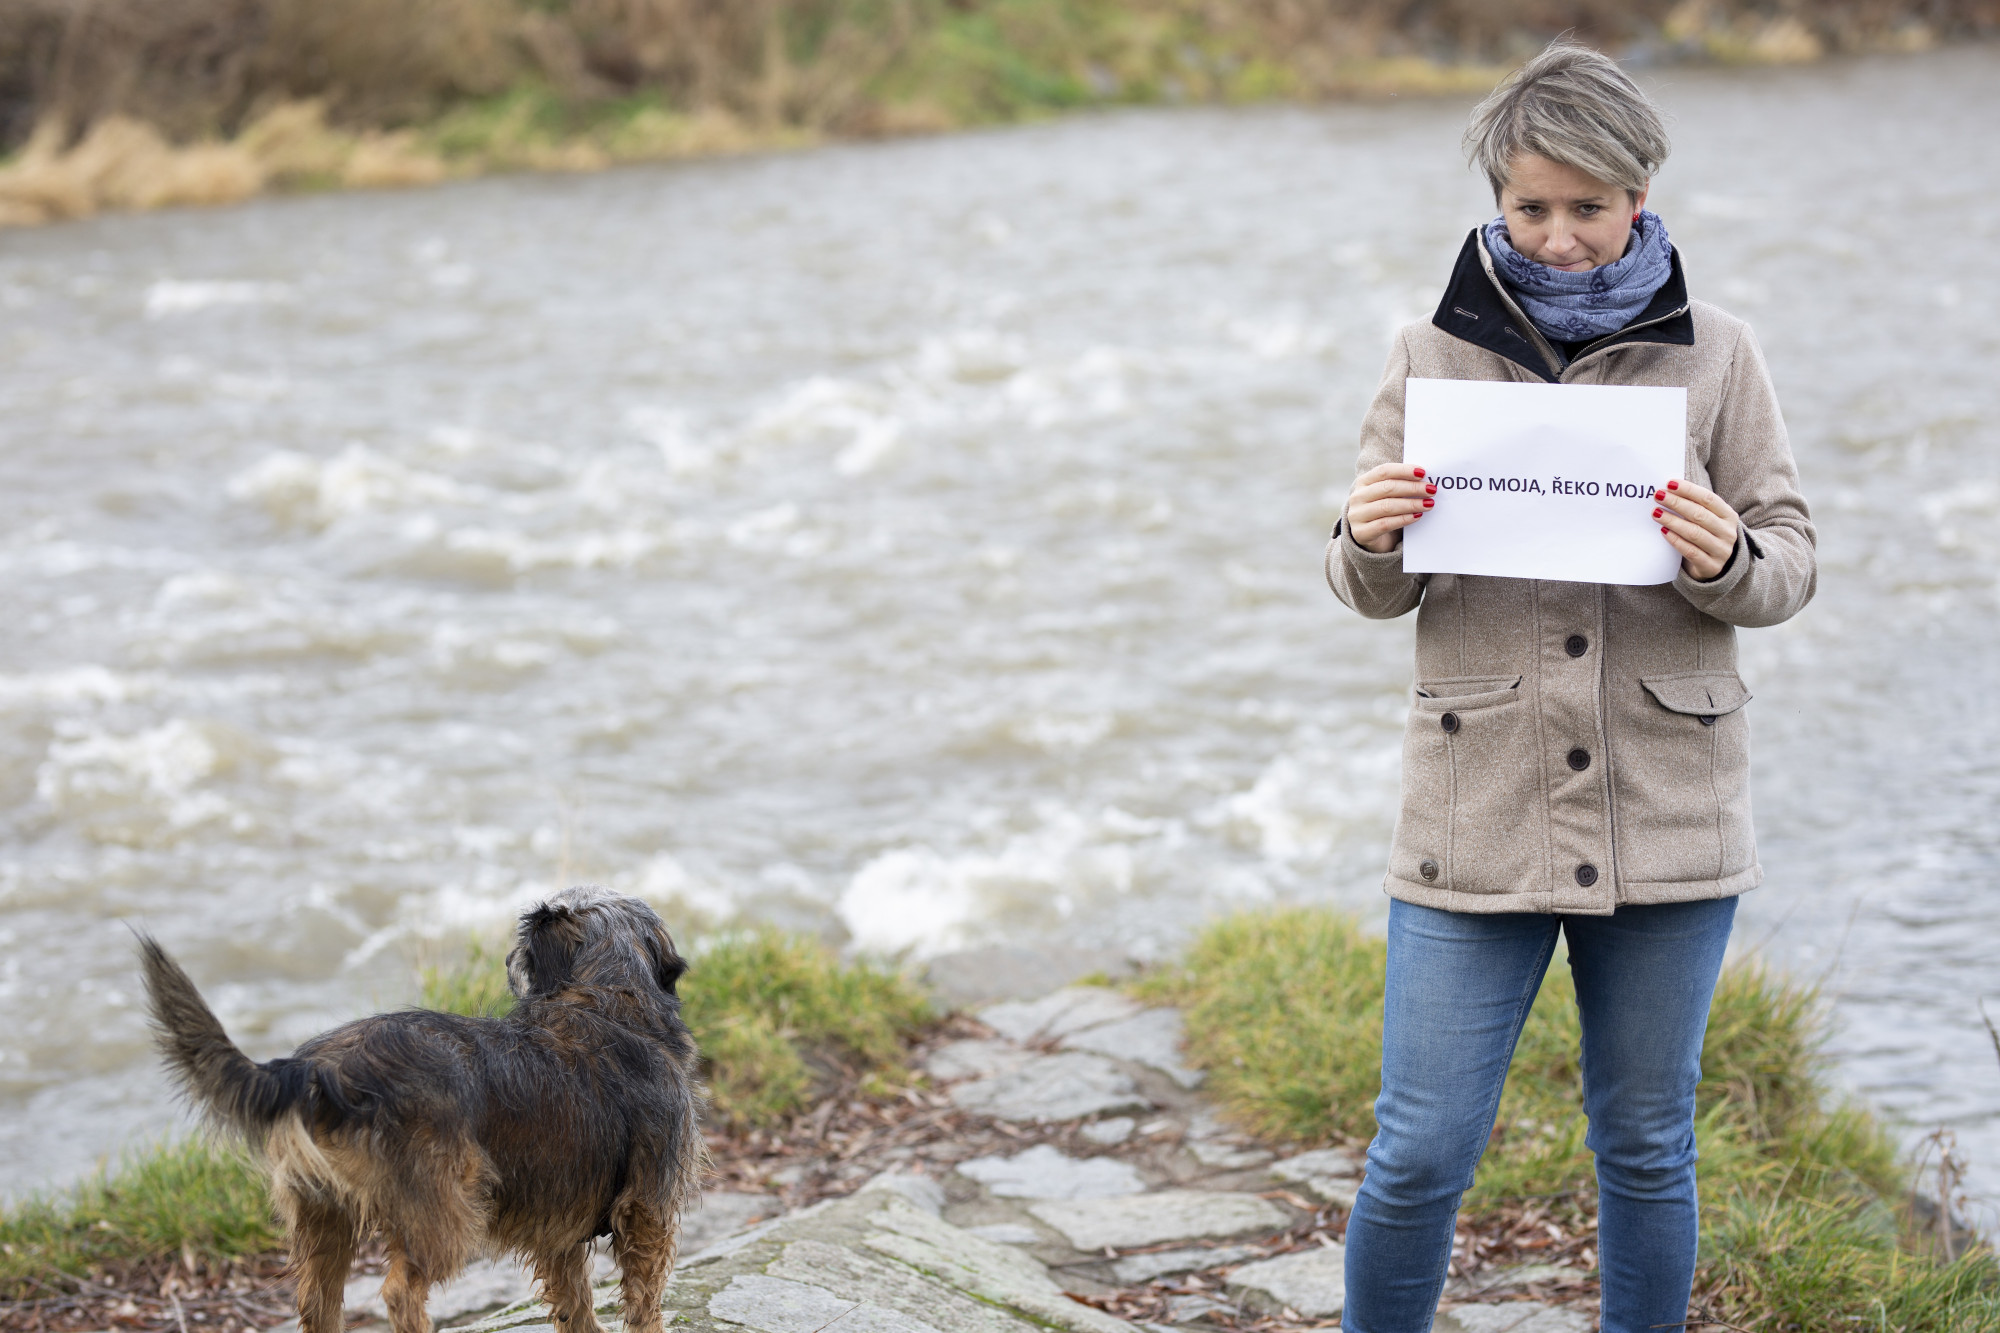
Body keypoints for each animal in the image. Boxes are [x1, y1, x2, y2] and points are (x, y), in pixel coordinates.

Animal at [139, 880, 704, 1333]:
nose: (507, 961)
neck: (606, 1001)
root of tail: (320, 1072)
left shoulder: (559, 1226)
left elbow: (576, 1305)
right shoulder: (646, 1211)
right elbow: (643, 1302)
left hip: (324, 1215)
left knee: (317, 1301)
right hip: (447, 1214)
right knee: (399, 1292)